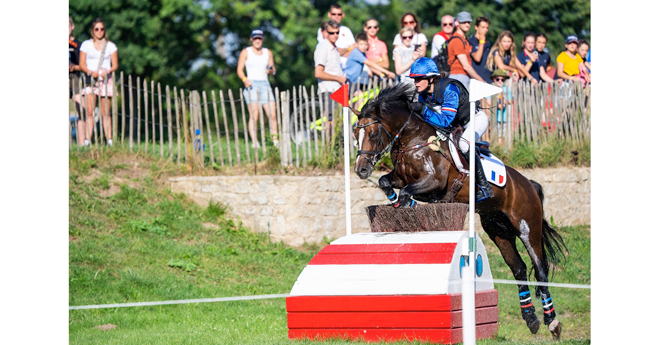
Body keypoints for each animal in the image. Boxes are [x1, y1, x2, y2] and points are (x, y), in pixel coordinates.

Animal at [350, 82, 568, 338]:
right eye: (355, 135)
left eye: (373, 134)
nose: (361, 170)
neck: (413, 139)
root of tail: (528, 184)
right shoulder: (400, 178)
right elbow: (386, 182)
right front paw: (400, 205)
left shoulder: (433, 181)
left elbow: (407, 192)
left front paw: (409, 206)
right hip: (498, 229)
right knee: (519, 269)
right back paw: (531, 319)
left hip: (526, 227)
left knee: (540, 270)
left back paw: (552, 321)